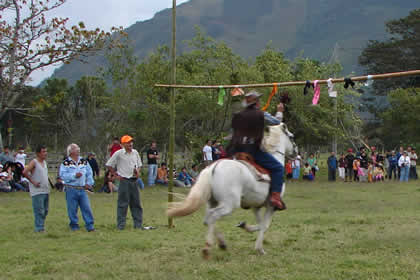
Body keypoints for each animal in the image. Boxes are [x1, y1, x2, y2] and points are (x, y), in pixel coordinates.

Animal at [168, 123, 298, 258]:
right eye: (292, 137)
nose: (296, 152)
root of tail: (213, 167)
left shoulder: (255, 206)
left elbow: (260, 224)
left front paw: (245, 226)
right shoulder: (271, 206)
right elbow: (265, 225)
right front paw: (259, 249)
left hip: (212, 202)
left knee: (207, 219)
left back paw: (221, 243)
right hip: (229, 205)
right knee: (212, 217)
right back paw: (207, 248)